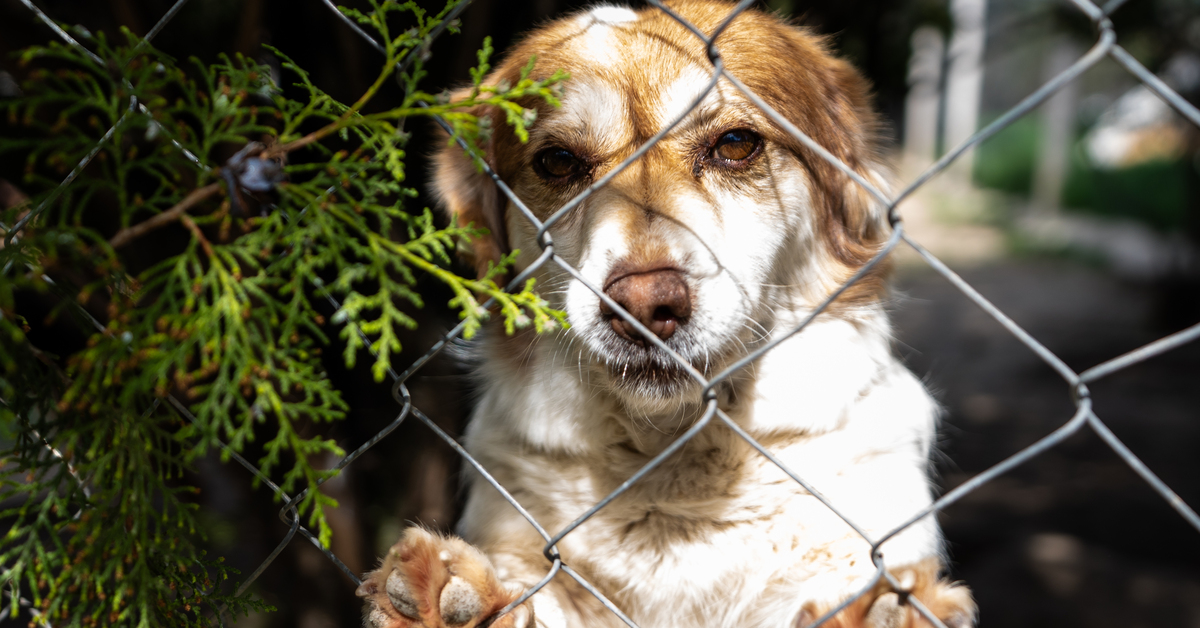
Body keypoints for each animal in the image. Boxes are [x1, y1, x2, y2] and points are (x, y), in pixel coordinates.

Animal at [355, 2, 974, 624]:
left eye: (736, 144)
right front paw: (454, 601)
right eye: (557, 161)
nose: (643, 305)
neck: (671, 462)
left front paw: (887, 609)